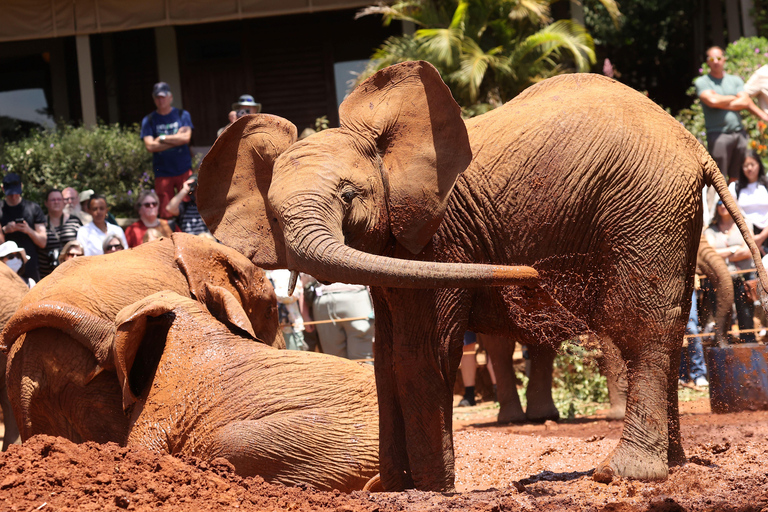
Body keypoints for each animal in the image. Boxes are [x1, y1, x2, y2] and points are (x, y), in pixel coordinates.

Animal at [196, 62, 768, 490]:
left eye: (349, 195)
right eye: (272, 212)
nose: (530, 271)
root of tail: (691, 143)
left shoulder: (441, 235)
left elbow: (421, 349)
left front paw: (431, 490)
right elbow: (386, 354)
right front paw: (389, 489)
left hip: (643, 203)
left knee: (639, 325)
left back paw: (623, 475)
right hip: (666, 209)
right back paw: (672, 466)